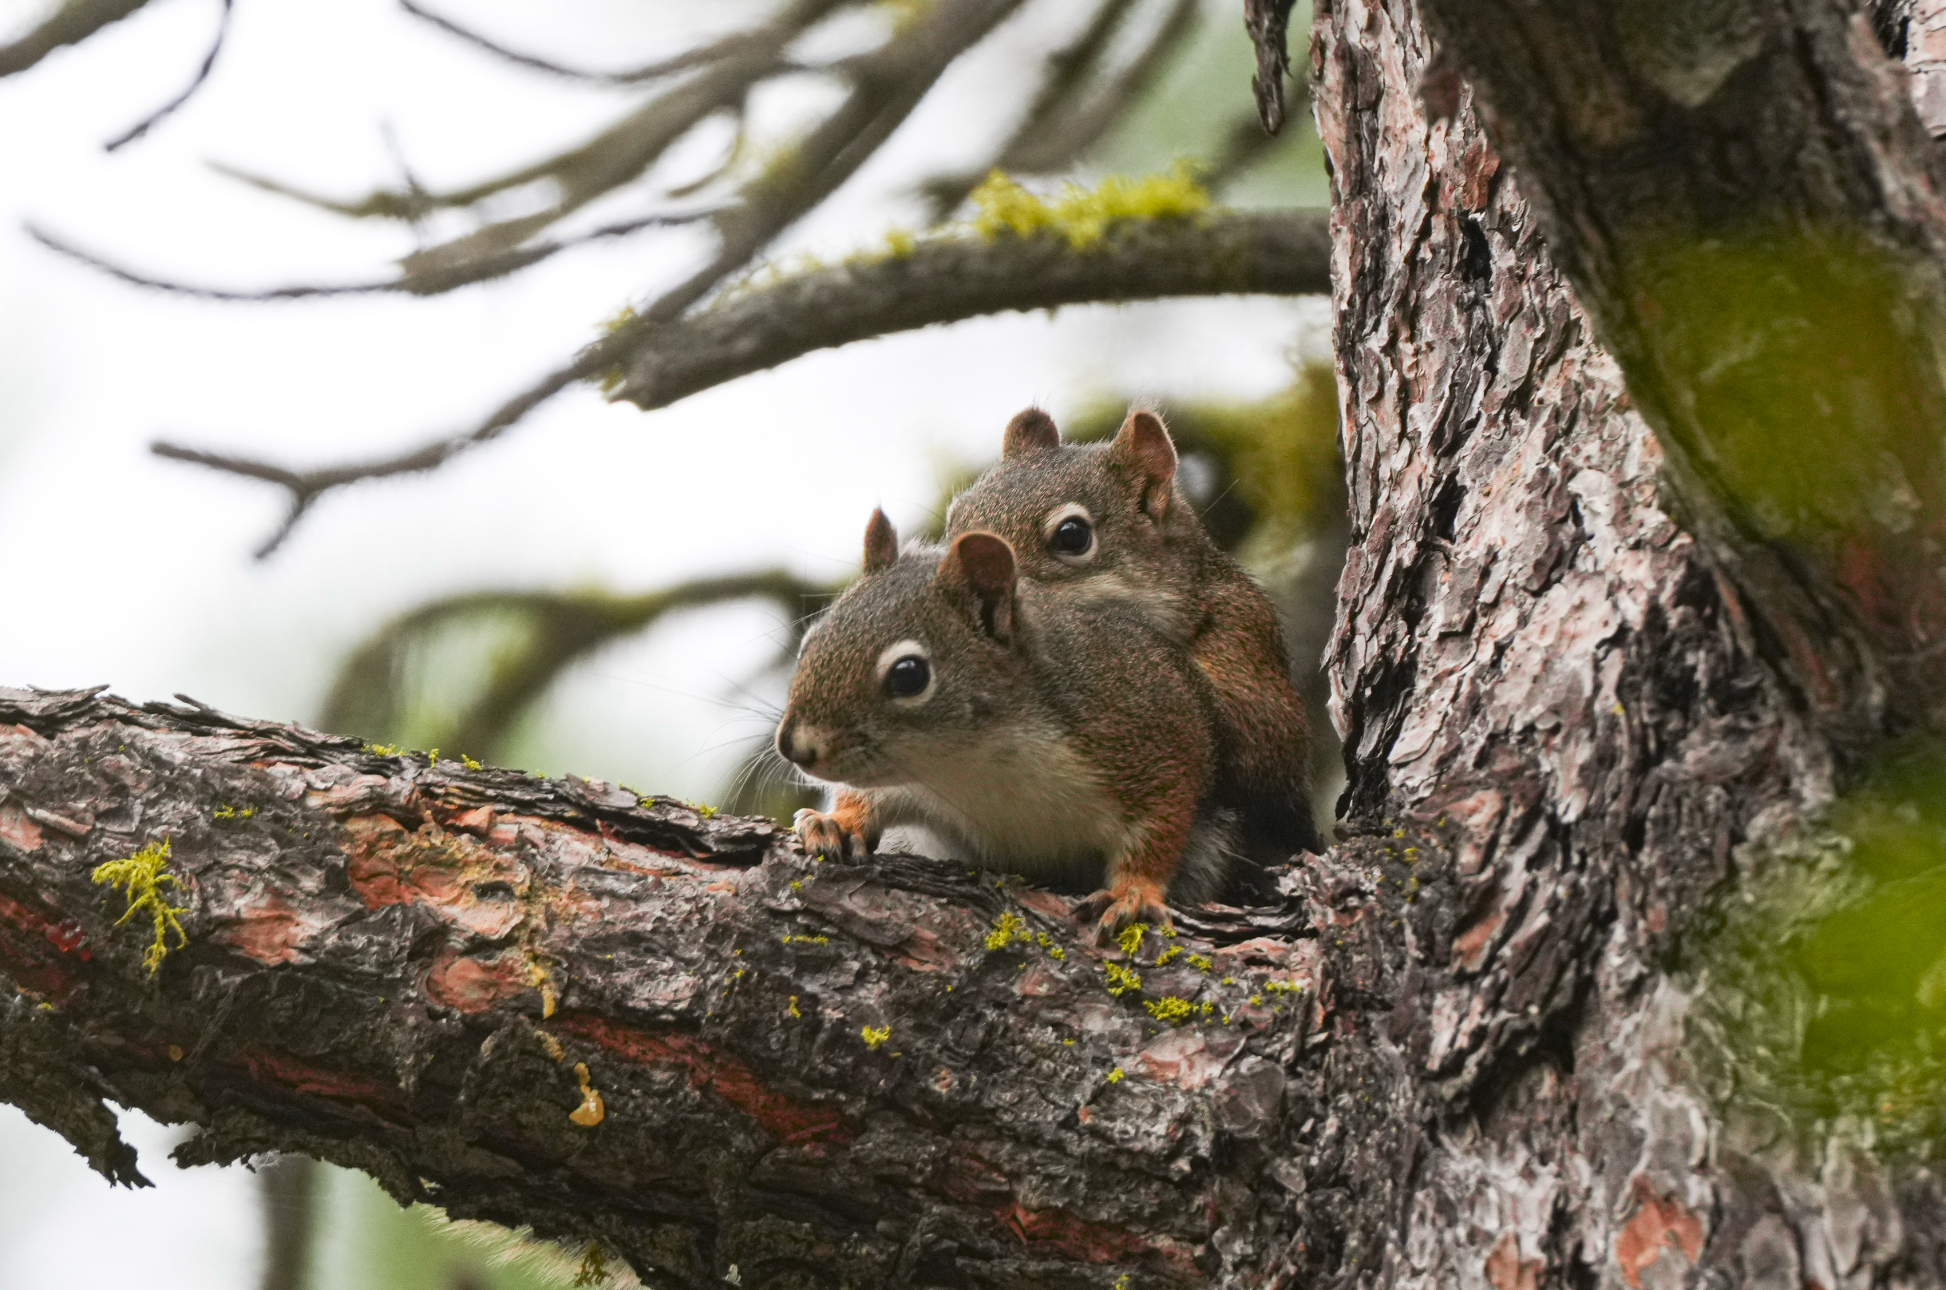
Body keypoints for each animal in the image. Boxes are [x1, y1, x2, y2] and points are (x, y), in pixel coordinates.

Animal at [770, 509, 1237, 945]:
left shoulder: (1154, 737)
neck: (974, 761)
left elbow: (1160, 825)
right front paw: (837, 822)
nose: (794, 746)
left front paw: (1133, 894)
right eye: (808, 643)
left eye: (909, 675)